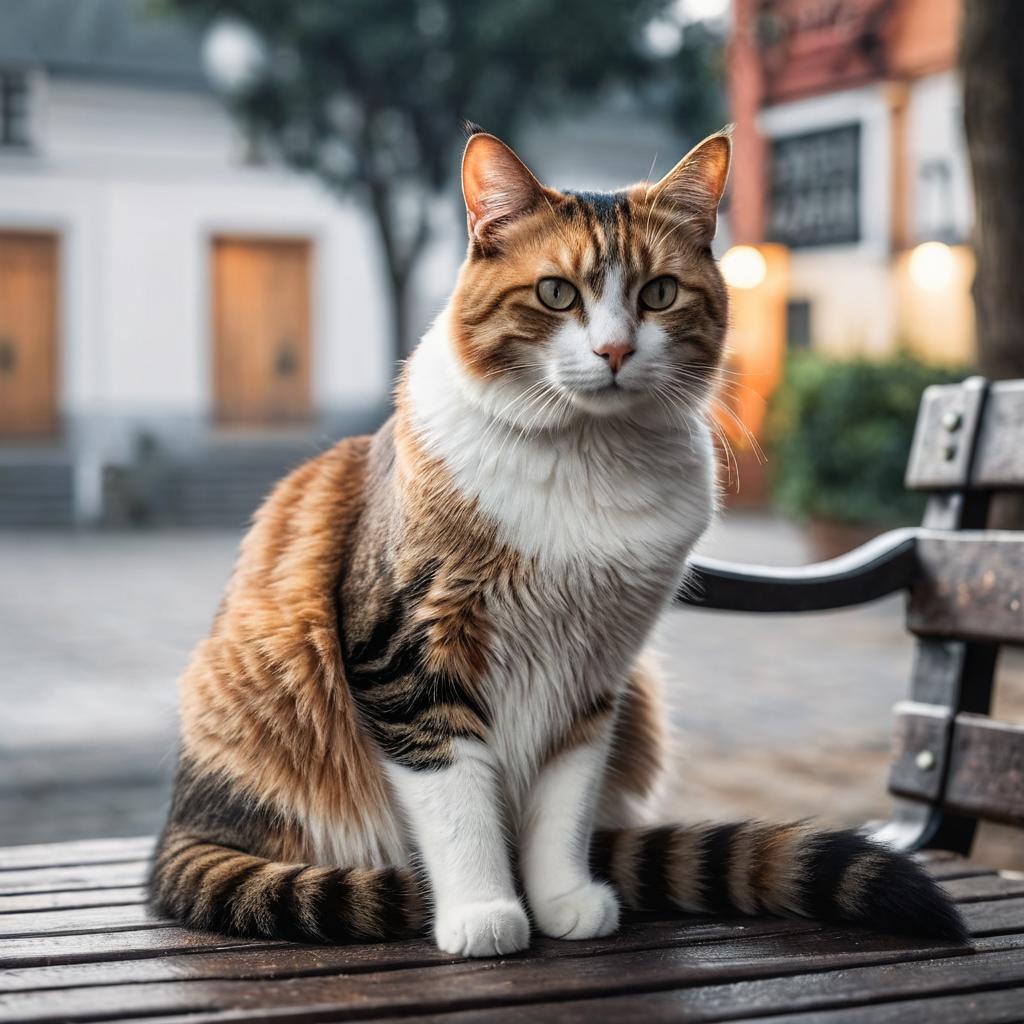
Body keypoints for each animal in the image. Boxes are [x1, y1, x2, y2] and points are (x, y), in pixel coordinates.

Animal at [148, 130, 962, 958]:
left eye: (659, 294)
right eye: (556, 294)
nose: (614, 350)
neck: (585, 457)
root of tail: (182, 826)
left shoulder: (594, 672)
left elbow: (563, 804)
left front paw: (560, 898)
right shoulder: (407, 655)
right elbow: (457, 798)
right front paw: (484, 910)